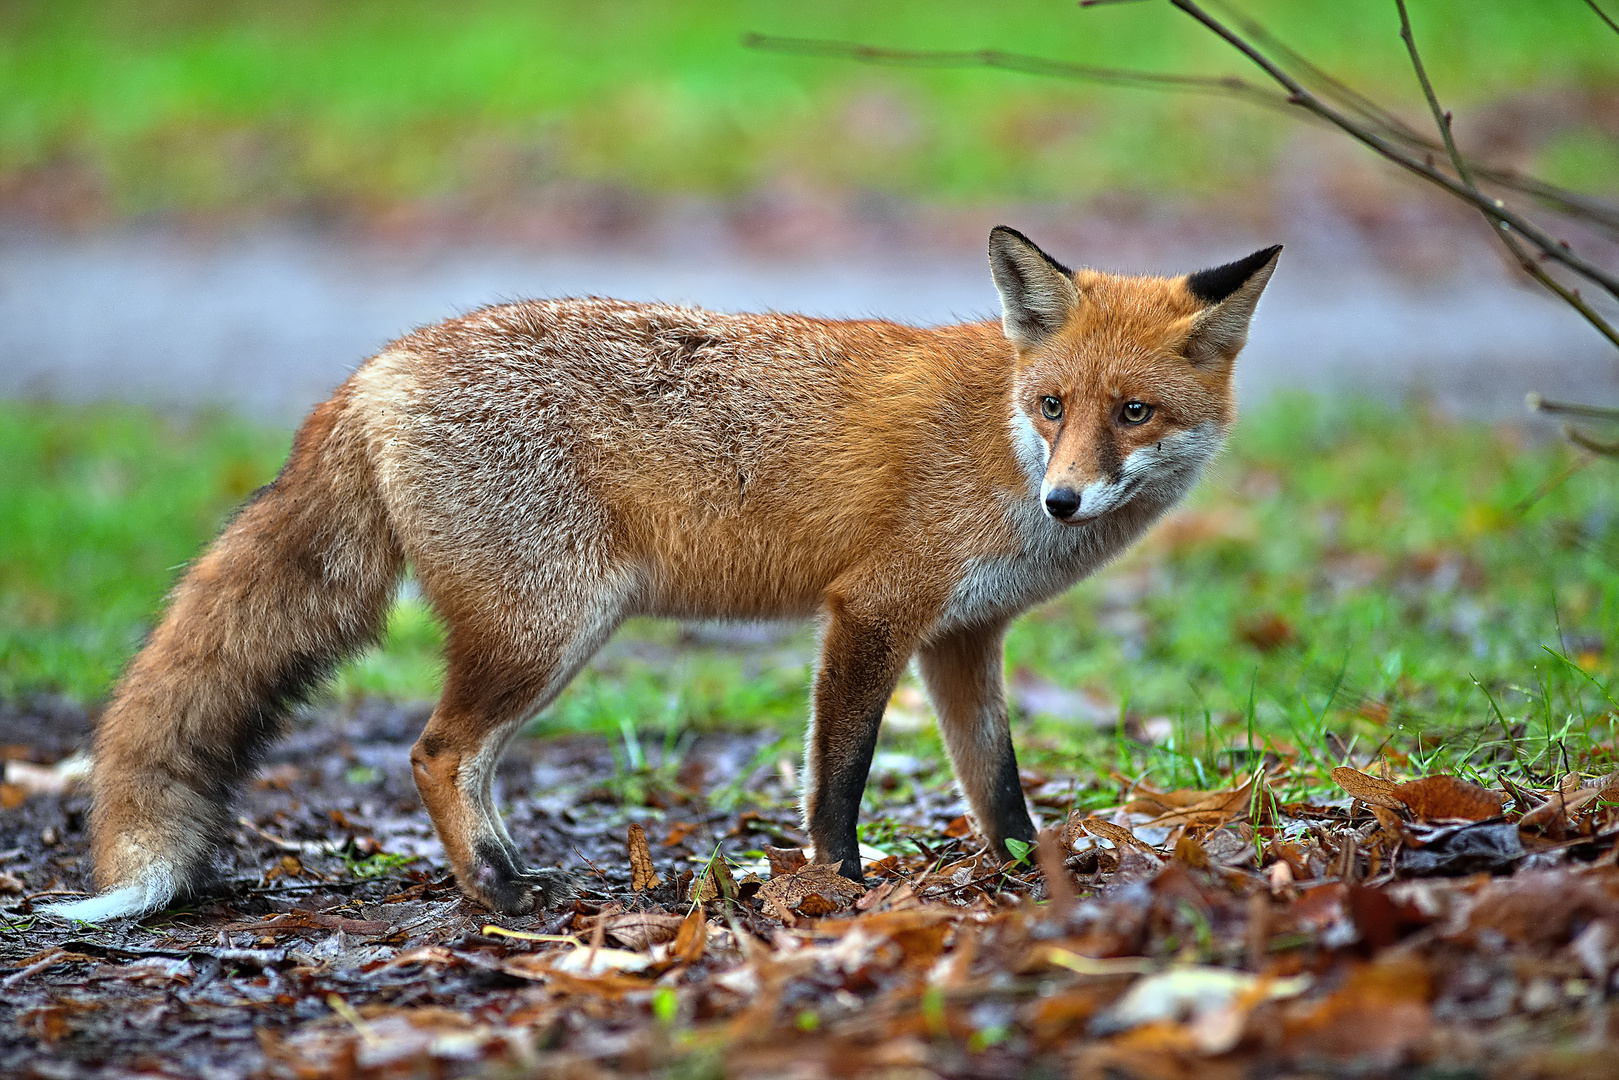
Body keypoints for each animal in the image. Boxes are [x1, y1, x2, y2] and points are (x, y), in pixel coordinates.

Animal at [47, 226, 1275, 919]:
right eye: (1053, 406)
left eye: (1132, 413)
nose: (1064, 498)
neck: (996, 437)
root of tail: (375, 368)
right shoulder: (871, 611)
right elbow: (837, 779)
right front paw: (836, 890)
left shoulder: (961, 638)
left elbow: (998, 785)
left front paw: (1026, 877)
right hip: (549, 630)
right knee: (436, 752)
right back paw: (495, 893)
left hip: (549, 634)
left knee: (459, 758)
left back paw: (505, 872)